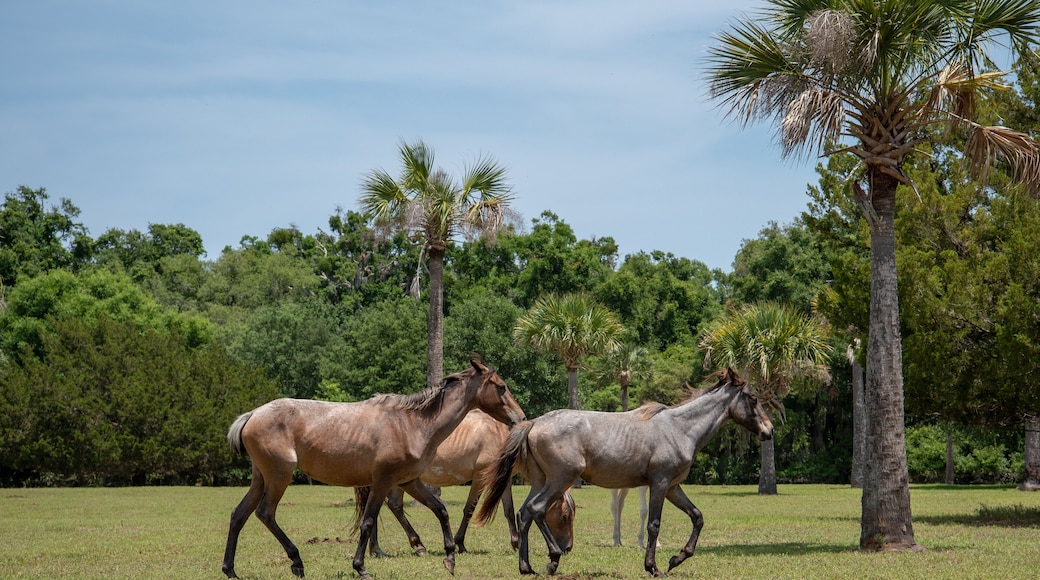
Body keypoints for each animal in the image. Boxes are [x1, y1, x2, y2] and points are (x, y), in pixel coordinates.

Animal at [221, 359, 525, 580]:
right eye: (501, 386)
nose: (520, 417)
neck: (412, 423)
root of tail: (252, 415)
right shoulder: (383, 481)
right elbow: (368, 522)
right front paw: (360, 567)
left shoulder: (409, 481)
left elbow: (440, 510)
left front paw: (449, 556)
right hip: (279, 476)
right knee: (265, 513)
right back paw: (296, 561)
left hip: (261, 478)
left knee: (239, 514)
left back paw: (230, 569)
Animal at [361, 408, 575, 557]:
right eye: (565, 516)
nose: (568, 548)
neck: (501, 434)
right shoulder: (480, 476)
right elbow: (470, 509)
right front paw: (460, 543)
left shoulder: (503, 480)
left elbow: (508, 510)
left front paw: (515, 542)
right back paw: (382, 548)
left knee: (393, 506)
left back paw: (394, 547)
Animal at [475, 368, 772, 577]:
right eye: (753, 398)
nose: (769, 431)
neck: (680, 428)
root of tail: (534, 423)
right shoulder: (660, 484)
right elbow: (654, 524)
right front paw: (654, 567)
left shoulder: (673, 487)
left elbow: (697, 517)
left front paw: (676, 559)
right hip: (561, 479)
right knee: (536, 509)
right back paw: (554, 559)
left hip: (541, 481)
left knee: (524, 514)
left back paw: (527, 568)